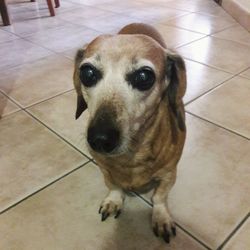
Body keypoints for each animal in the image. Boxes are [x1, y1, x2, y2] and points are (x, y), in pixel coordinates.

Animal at [72, 23, 186, 242]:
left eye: (143, 76)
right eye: (87, 73)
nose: (100, 139)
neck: (132, 154)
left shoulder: (170, 173)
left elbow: (159, 197)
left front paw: (161, 217)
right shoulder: (105, 169)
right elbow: (113, 185)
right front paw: (114, 200)